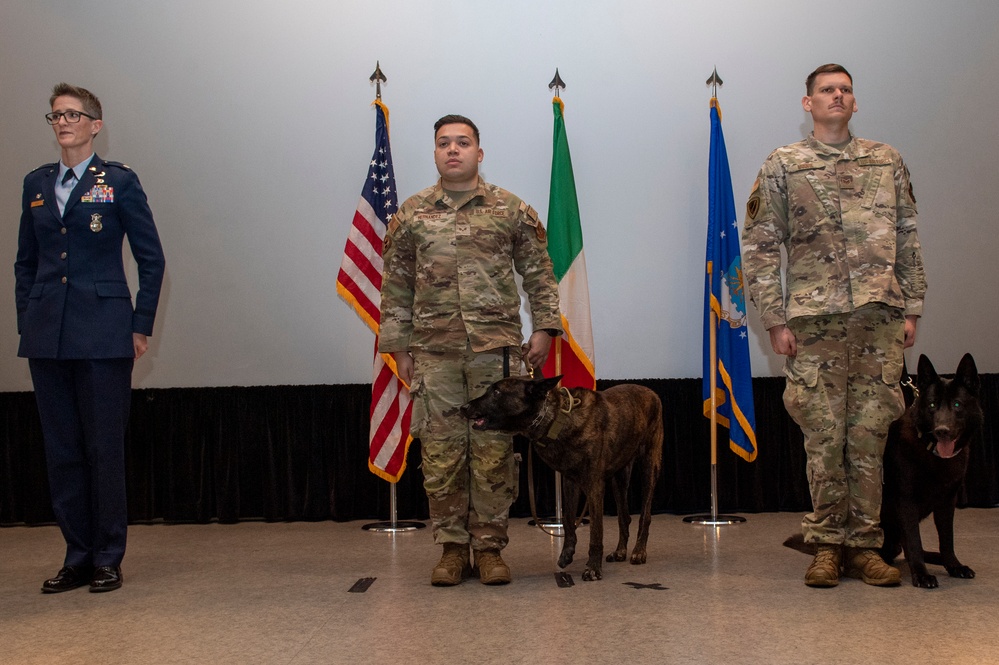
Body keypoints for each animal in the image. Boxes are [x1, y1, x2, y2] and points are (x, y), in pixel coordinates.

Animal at [460, 376, 664, 580]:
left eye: (497, 392)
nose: (463, 407)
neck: (555, 419)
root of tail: (650, 391)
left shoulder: (594, 486)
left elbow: (596, 531)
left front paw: (593, 567)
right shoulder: (569, 482)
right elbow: (567, 519)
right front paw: (567, 552)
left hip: (649, 468)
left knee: (645, 515)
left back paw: (639, 551)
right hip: (619, 479)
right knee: (624, 517)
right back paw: (621, 551)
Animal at [884, 352, 984, 588]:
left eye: (957, 404)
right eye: (931, 405)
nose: (942, 431)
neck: (931, 450)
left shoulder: (947, 503)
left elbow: (947, 539)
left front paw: (954, 565)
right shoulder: (906, 502)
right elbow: (914, 540)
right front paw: (921, 574)